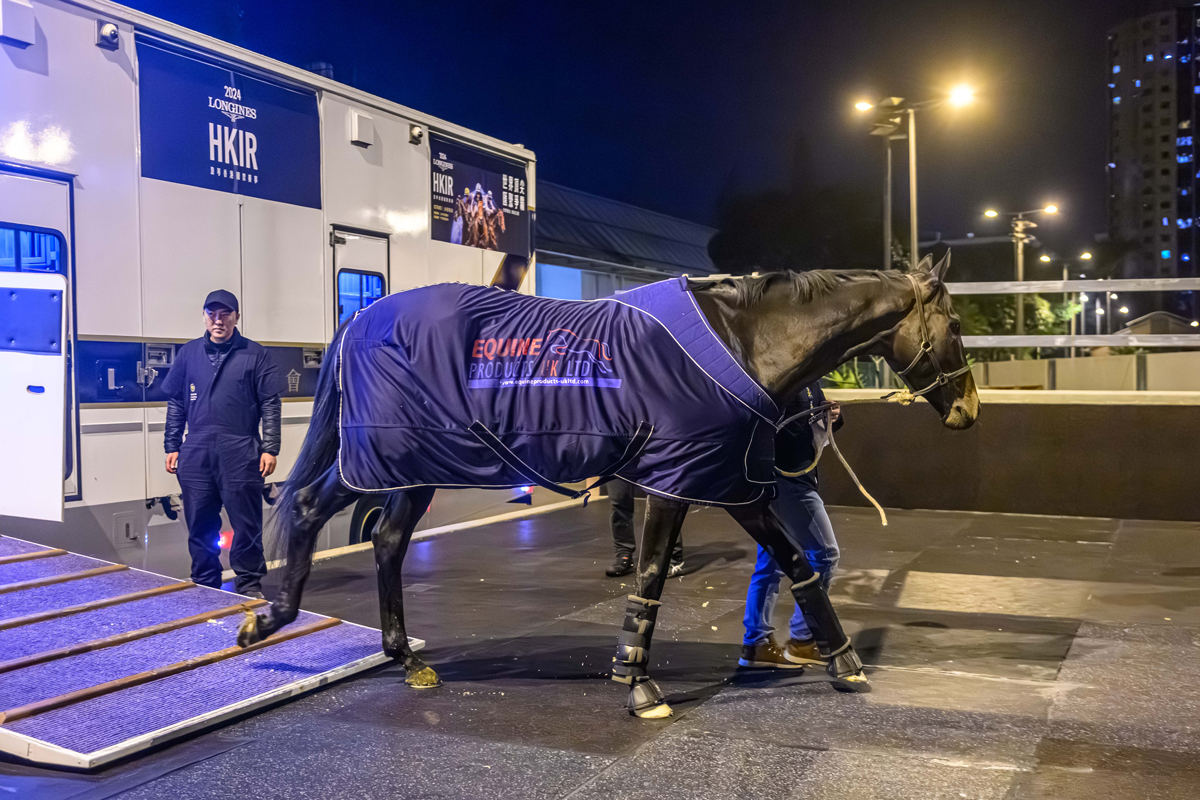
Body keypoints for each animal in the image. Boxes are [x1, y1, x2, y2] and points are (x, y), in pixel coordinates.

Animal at [238, 255, 979, 719]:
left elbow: (798, 564)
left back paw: (402, 654)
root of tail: (359, 321)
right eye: (955, 325)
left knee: (389, 541)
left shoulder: (732, 483)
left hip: (416, 466)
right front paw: (637, 680)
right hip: (385, 454)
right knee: (309, 507)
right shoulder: (676, 483)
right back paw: (266, 620)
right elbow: (650, 576)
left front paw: (843, 661)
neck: (742, 342)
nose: (970, 410)